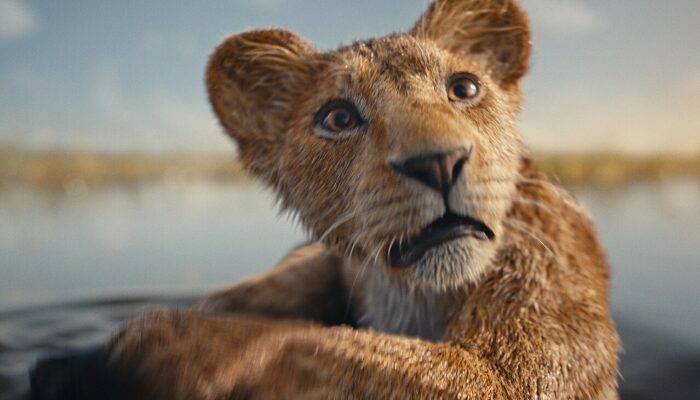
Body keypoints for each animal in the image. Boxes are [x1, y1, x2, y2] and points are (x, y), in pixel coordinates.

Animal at [30, 0, 620, 398]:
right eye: (338, 117)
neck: (409, 292)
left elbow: (316, 345)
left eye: (465, 88)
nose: (438, 162)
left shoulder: (525, 366)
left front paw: (163, 345)